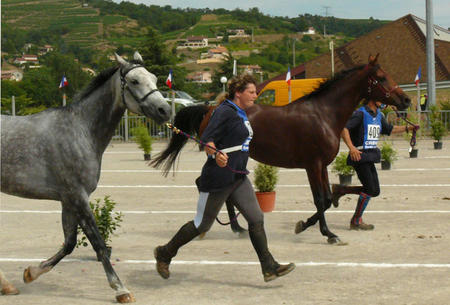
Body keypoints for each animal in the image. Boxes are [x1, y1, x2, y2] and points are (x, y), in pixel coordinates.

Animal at [0, 51, 171, 300]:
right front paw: (120, 289)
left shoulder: (69, 200)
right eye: (134, 81)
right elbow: (98, 244)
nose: (165, 110)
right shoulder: (78, 197)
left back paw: (7, 286)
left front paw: (31, 272)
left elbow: (69, 243)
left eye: (155, 78)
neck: (81, 130)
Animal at [152, 55, 412, 245]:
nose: (406, 100)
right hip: (221, 157)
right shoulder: (312, 165)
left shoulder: (322, 166)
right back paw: (223, 227)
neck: (323, 114)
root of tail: (211, 109)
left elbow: (328, 198)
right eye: (381, 77)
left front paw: (305, 225)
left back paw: (237, 228)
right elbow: (320, 200)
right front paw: (327, 234)